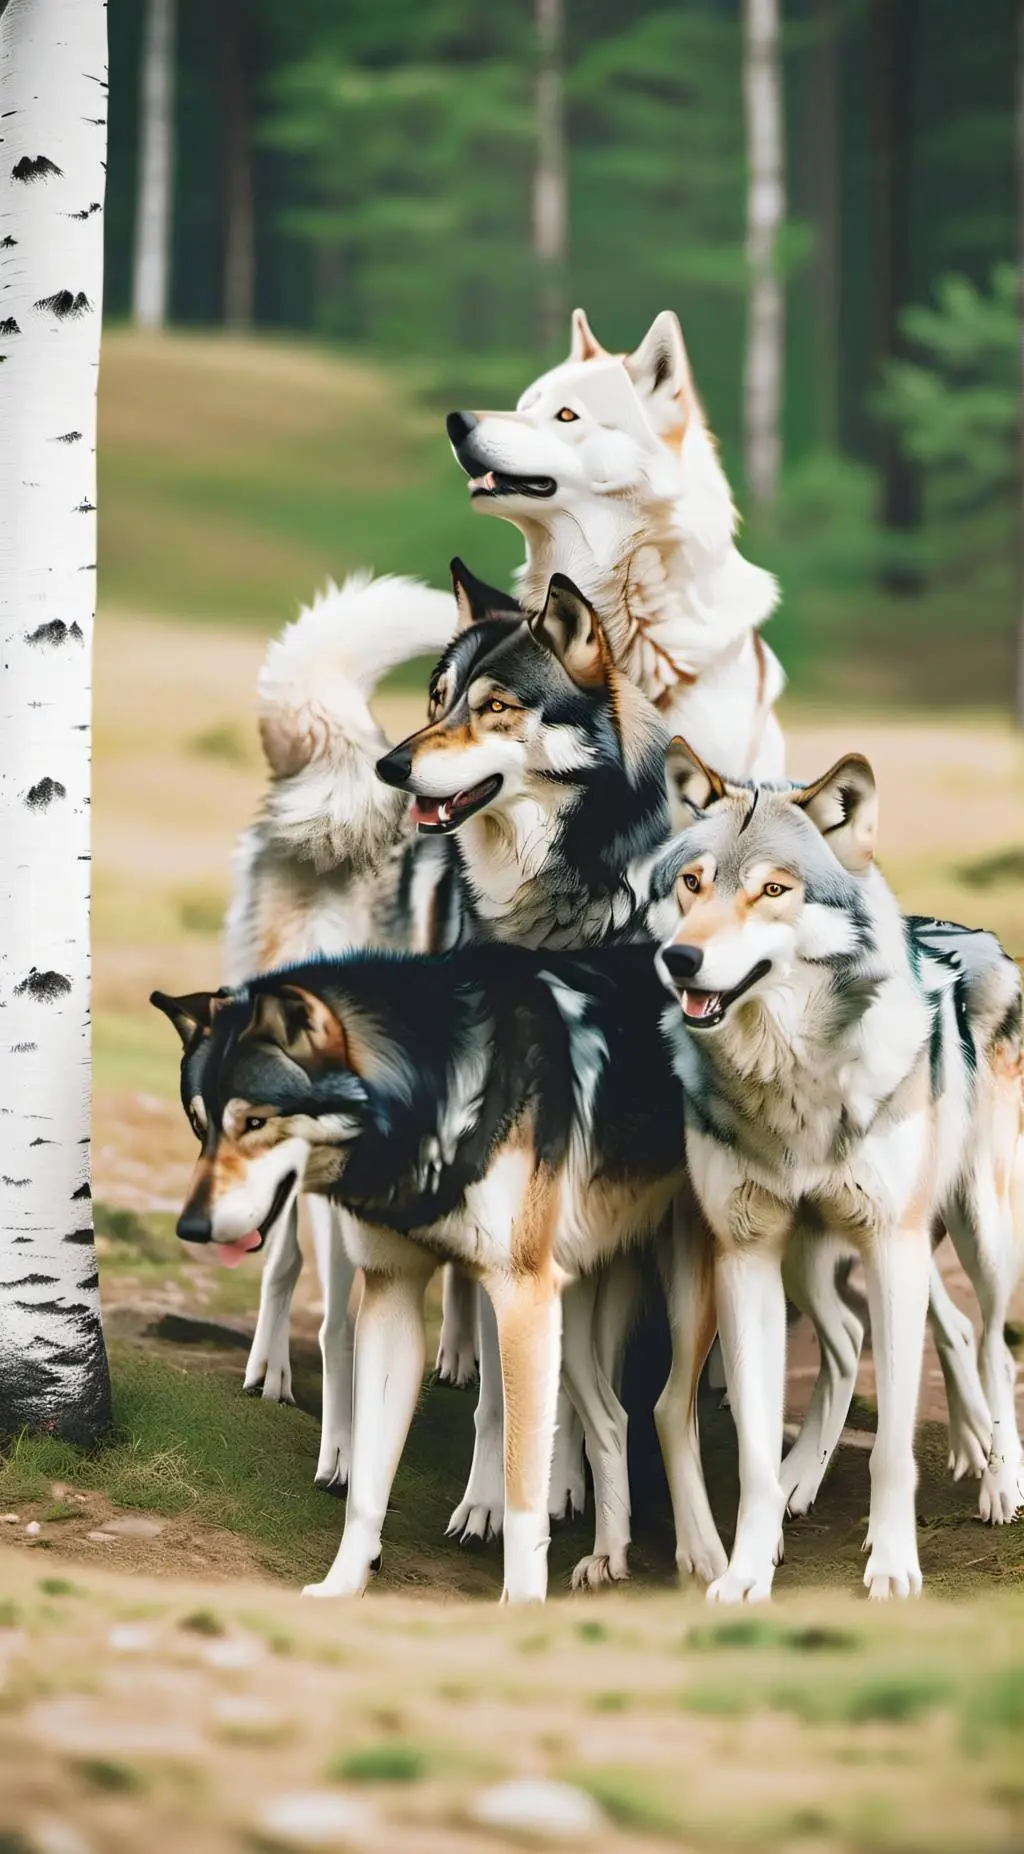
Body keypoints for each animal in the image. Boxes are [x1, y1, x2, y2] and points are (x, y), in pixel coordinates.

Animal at [151, 944, 705, 1605]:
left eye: (255, 1122)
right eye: (198, 1123)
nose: (191, 1228)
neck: (437, 1091)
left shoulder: (517, 1299)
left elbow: (522, 1493)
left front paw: (521, 1603)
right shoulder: (393, 1293)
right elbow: (367, 1483)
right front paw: (344, 1584)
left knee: (673, 1412)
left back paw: (712, 1564)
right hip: (566, 1330)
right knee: (615, 1418)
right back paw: (608, 1556)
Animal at [652, 739, 1024, 1602]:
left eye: (773, 890)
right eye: (693, 883)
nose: (680, 958)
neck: (794, 1083)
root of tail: (971, 932)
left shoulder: (891, 1243)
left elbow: (891, 1451)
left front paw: (892, 1567)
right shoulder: (747, 1253)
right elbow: (753, 1453)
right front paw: (746, 1570)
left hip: (980, 1235)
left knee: (991, 1344)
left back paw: (1000, 1478)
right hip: (810, 1257)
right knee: (862, 1339)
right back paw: (810, 1475)